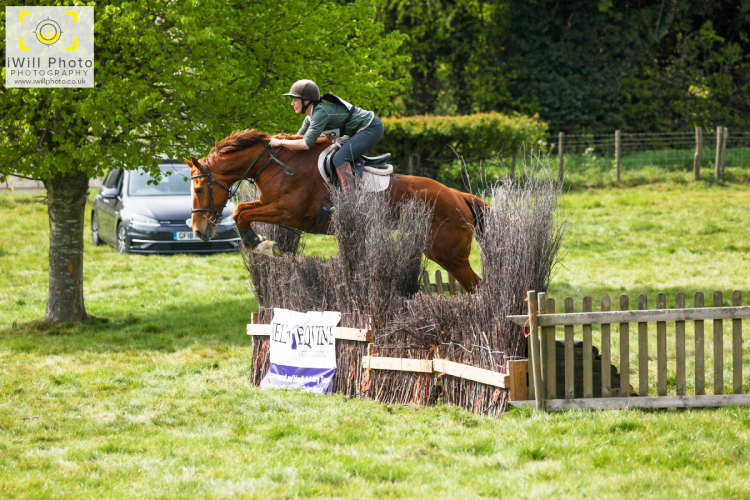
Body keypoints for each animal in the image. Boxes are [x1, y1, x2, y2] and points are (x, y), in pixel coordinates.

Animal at [185, 129, 486, 292]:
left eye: (198, 189)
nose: (199, 231)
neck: (276, 165)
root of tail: (460, 196)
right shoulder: (270, 204)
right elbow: (242, 210)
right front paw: (259, 243)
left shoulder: (289, 213)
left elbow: (242, 213)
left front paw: (262, 244)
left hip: (447, 253)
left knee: (476, 285)